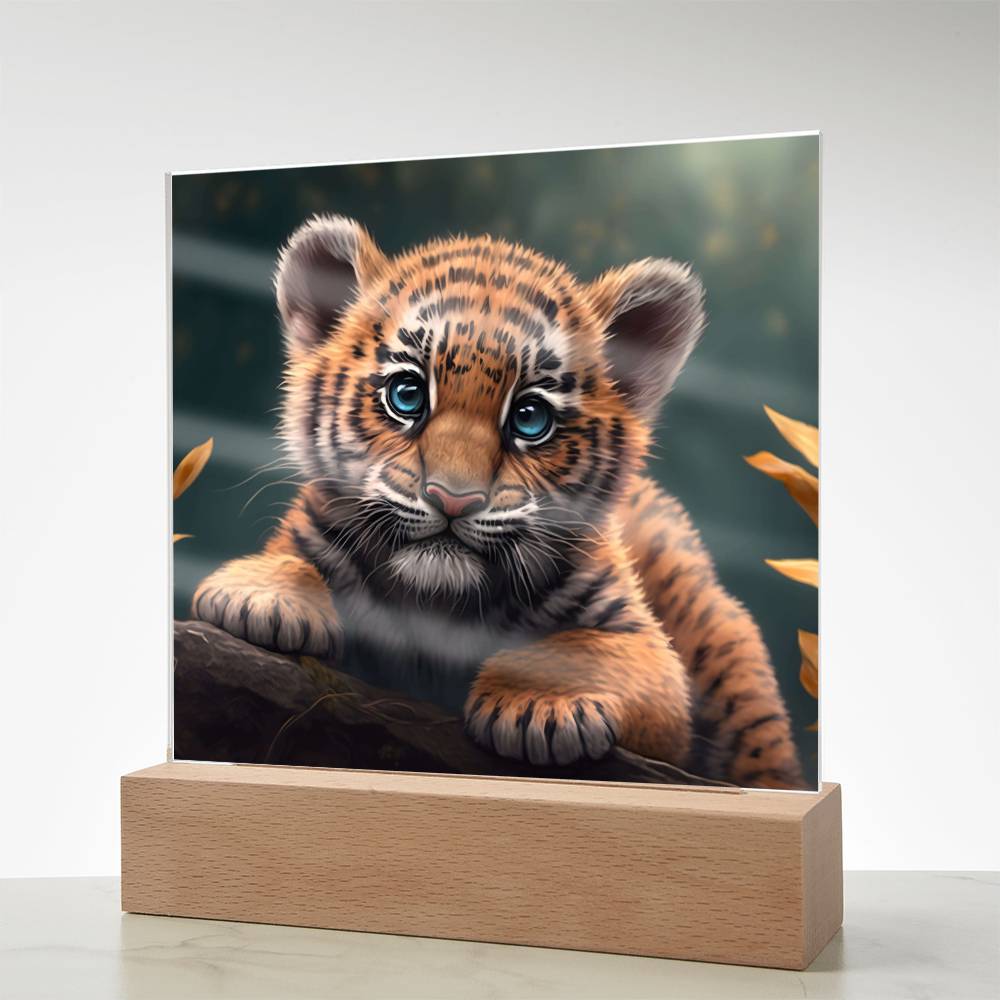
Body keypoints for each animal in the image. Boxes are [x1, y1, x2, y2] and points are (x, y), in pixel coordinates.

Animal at [191, 213, 806, 789]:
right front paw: (263, 597)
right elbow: (293, 559)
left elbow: (586, 647)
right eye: (406, 395)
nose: (452, 499)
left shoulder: (644, 645)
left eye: (530, 418)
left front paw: (540, 705)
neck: (435, 606)